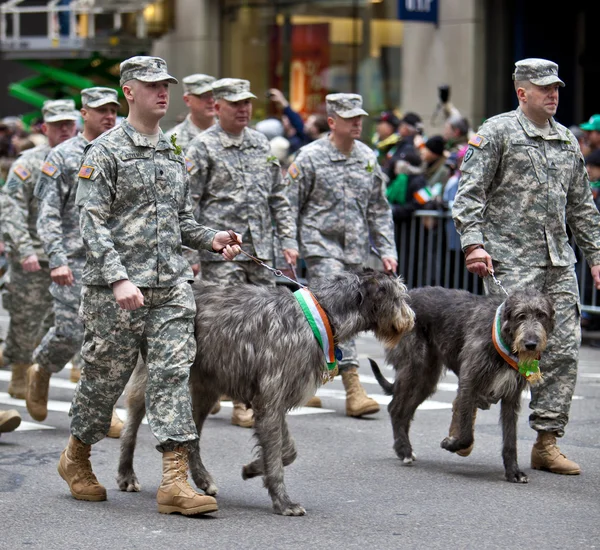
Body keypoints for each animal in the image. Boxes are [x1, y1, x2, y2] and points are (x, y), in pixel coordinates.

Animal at [119, 270, 414, 516]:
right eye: (398, 295)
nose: (412, 319)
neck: (321, 315)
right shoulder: (270, 398)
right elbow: (276, 454)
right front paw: (283, 501)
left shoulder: (276, 399)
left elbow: (287, 451)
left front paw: (253, 468)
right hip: (156, 372)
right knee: (131, 425)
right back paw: (126, 474)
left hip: (205, 388)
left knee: (193, 436)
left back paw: (202, 478)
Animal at [372, 286, 556, 486]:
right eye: (521, 316)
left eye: (541, 315)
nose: (531, 344)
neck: (503, 336)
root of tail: (406, 297)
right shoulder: (469, 381)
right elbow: (467, 433)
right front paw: (451, 444)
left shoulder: (511, 396)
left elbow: (510, 439)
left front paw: (513, 471)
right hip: (413, 367)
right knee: (395, 408)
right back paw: (404, 449)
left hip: (427, 378)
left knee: (405, 411)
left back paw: (405, 449)